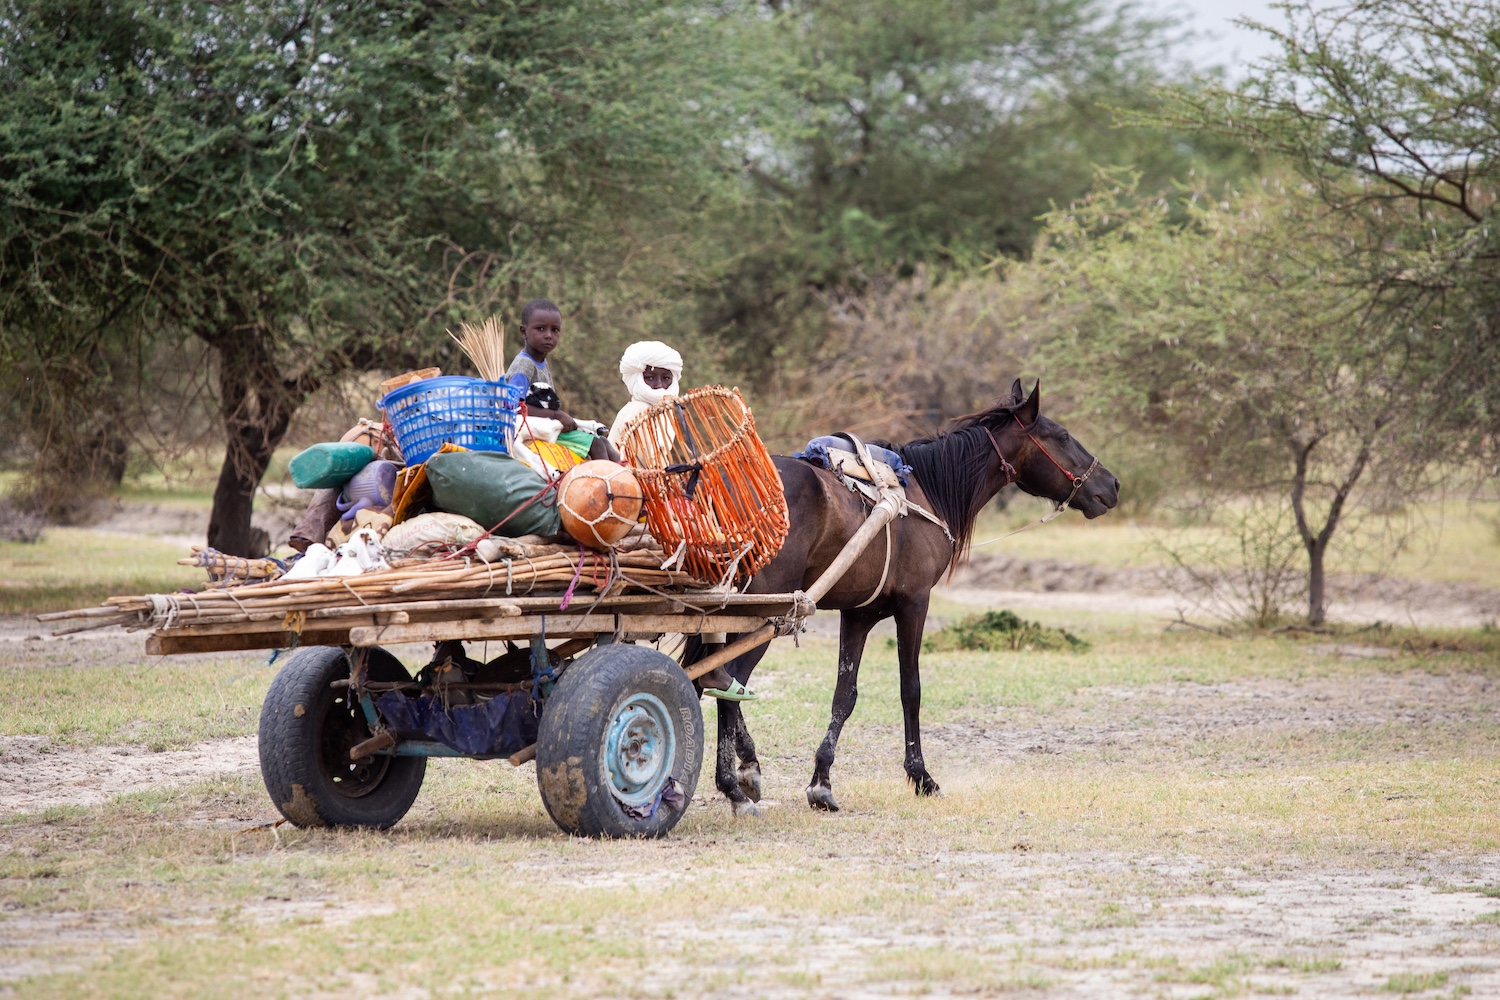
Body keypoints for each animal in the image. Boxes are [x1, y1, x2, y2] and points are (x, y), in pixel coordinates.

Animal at [687, 380, 1122, 815]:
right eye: (1062, 436)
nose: (1112, 485)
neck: (925, 494)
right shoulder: (914, 604)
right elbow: (910, 690)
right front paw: (922, 776)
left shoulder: (858, 615)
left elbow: (845, 695)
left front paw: (822, 781)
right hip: (764, 613)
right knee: (725, 686)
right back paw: (734, 785)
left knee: (711, 680)